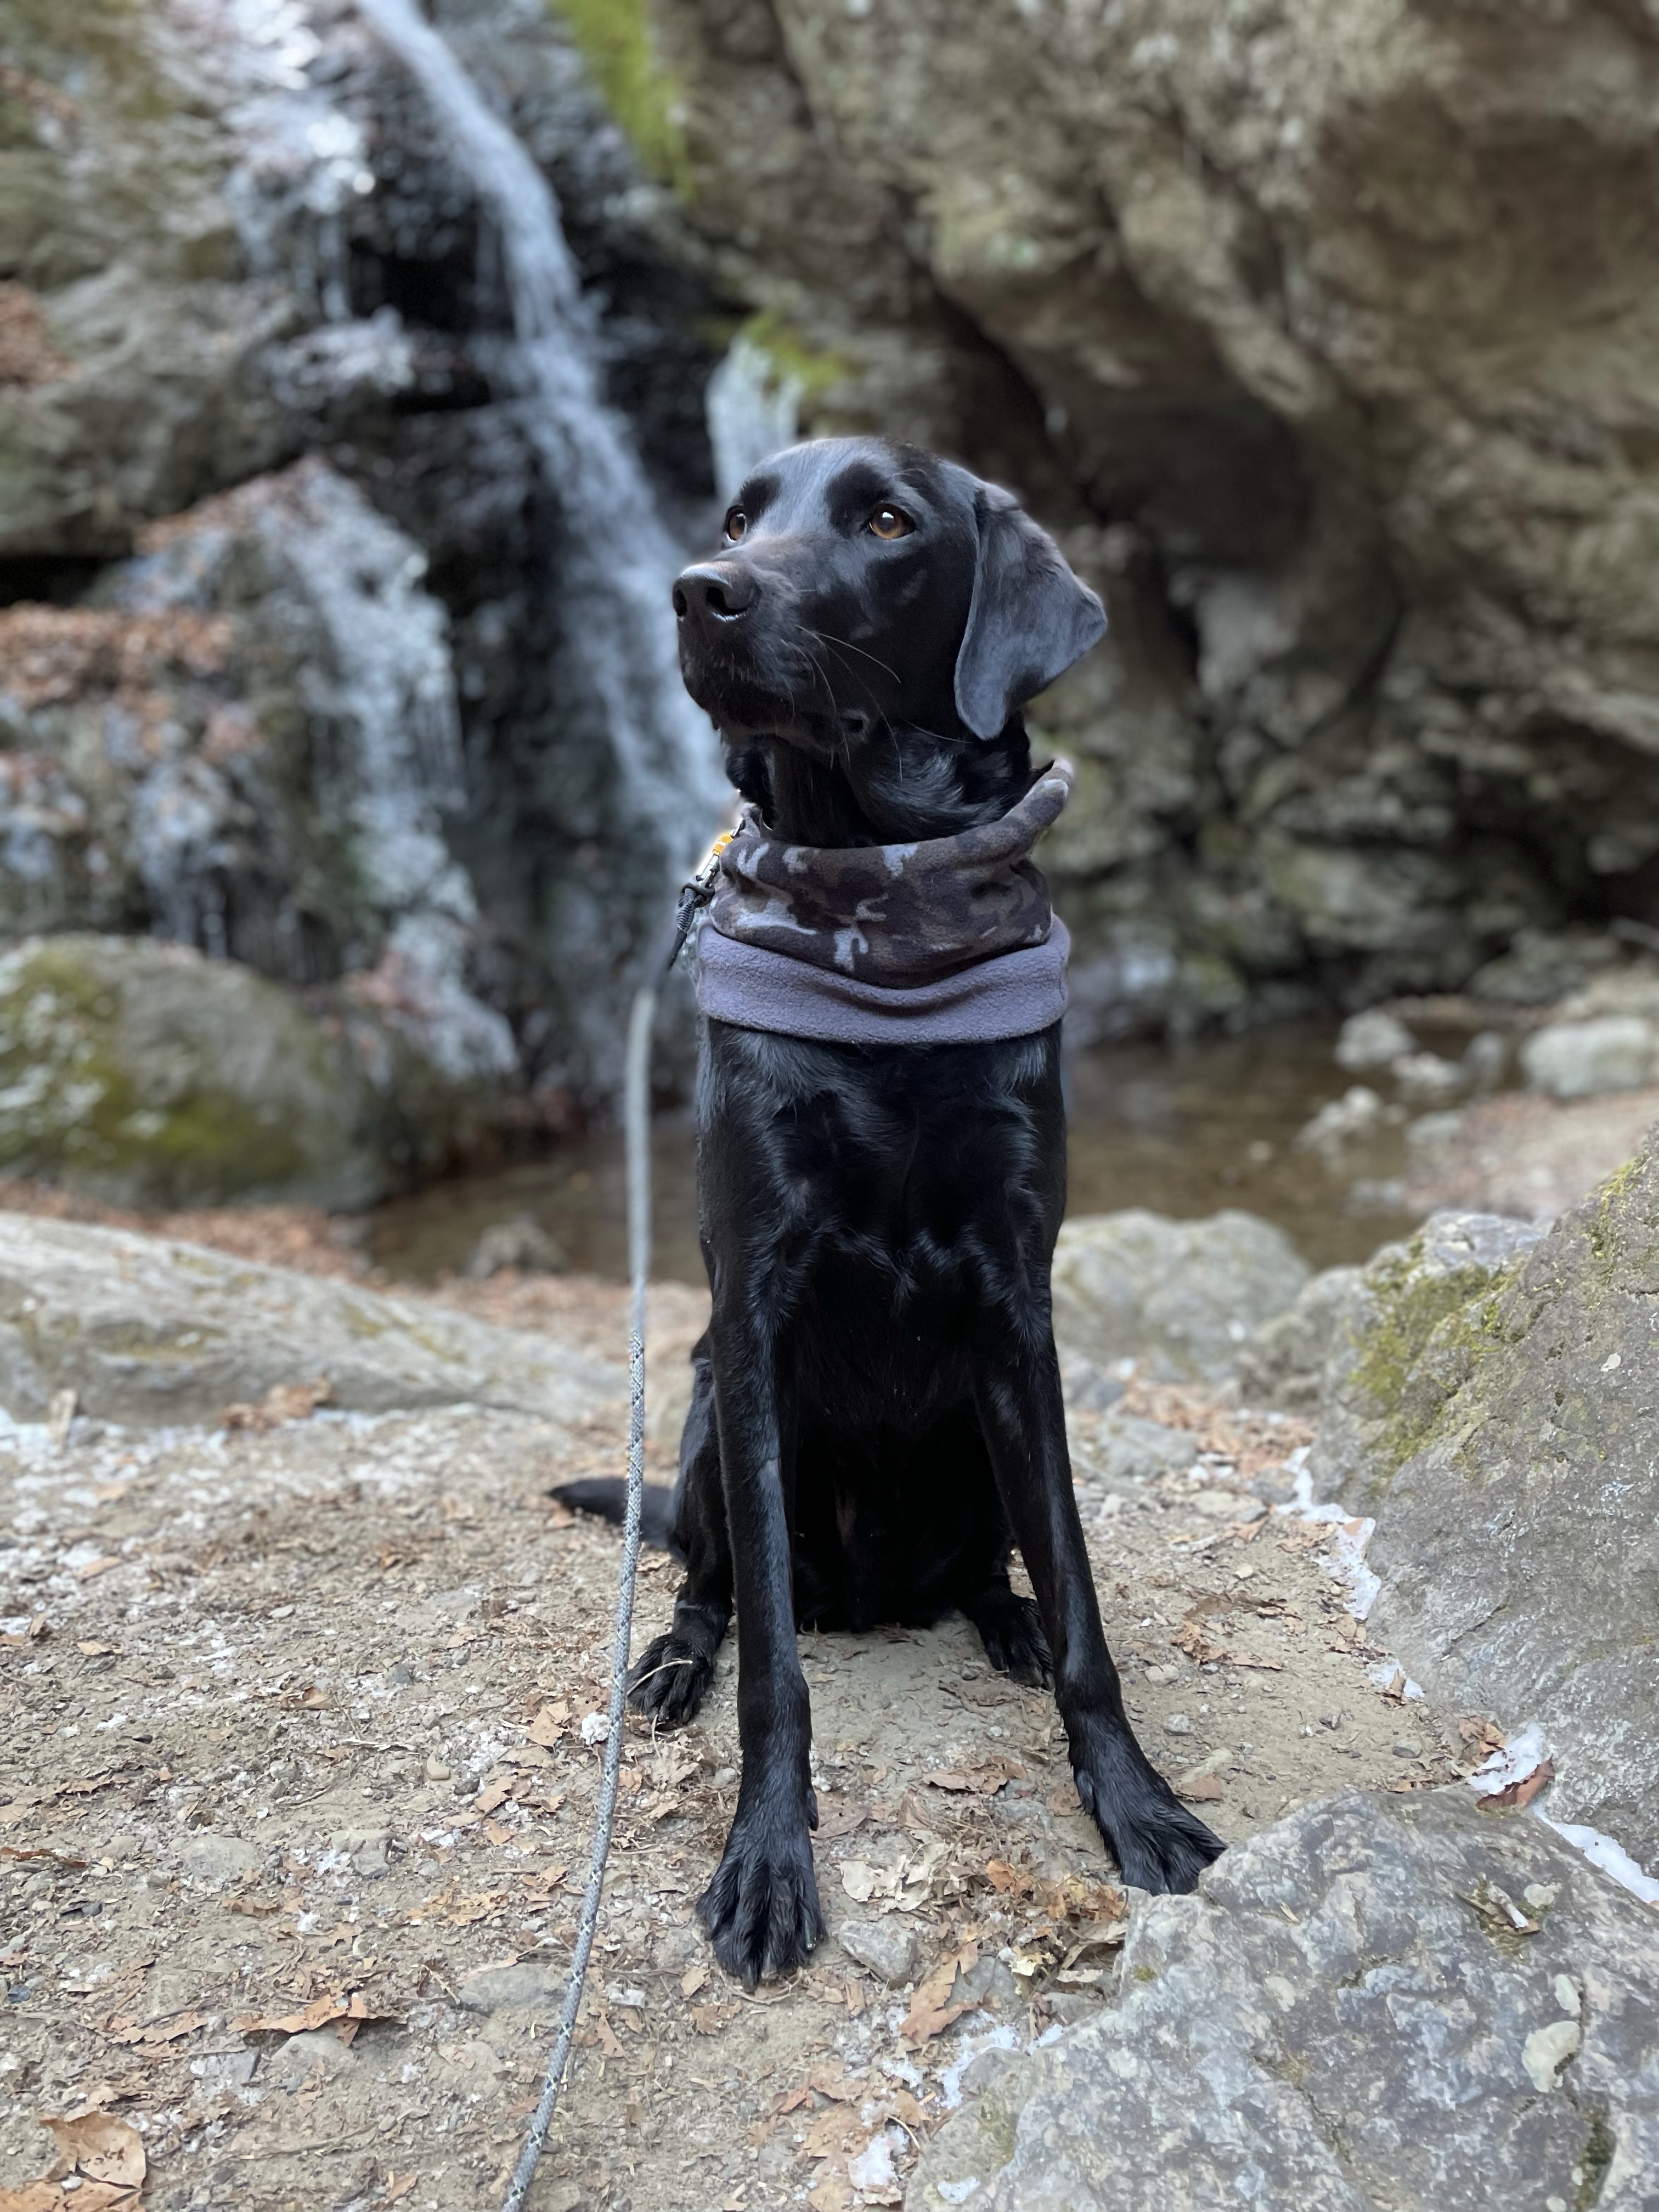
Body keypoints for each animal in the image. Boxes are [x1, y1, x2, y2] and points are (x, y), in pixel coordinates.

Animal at [559, 438, 1222, 1988]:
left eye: (883, 521)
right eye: (742, 514)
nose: (699, 588)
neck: (881, 911)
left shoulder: (1019, 1313)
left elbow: (1087, 1602)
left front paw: (1134, 1800)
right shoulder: (750, 1316)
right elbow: (773, 1672)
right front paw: (766, 1862)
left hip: (971, 1439)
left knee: (990, 1567)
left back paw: (1004, 1623)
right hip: (704, 1428)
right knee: (709, 1582)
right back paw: (671, 1662)